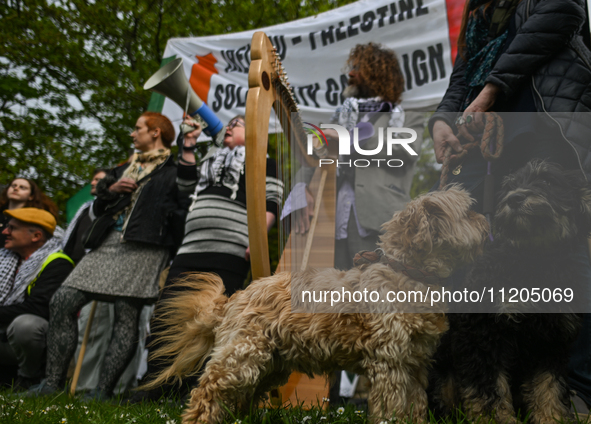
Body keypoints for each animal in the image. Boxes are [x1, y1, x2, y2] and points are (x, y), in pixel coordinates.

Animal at [149, 188, 490, 424]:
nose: (486, 219)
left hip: (269, 367)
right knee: (207, 392)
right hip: (241, 358)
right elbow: (392, 409)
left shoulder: (416, 364)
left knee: (240, 400)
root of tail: (235, 297)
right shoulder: (391, 363)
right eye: (469, 212)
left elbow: (416, 406)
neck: (408, 274)